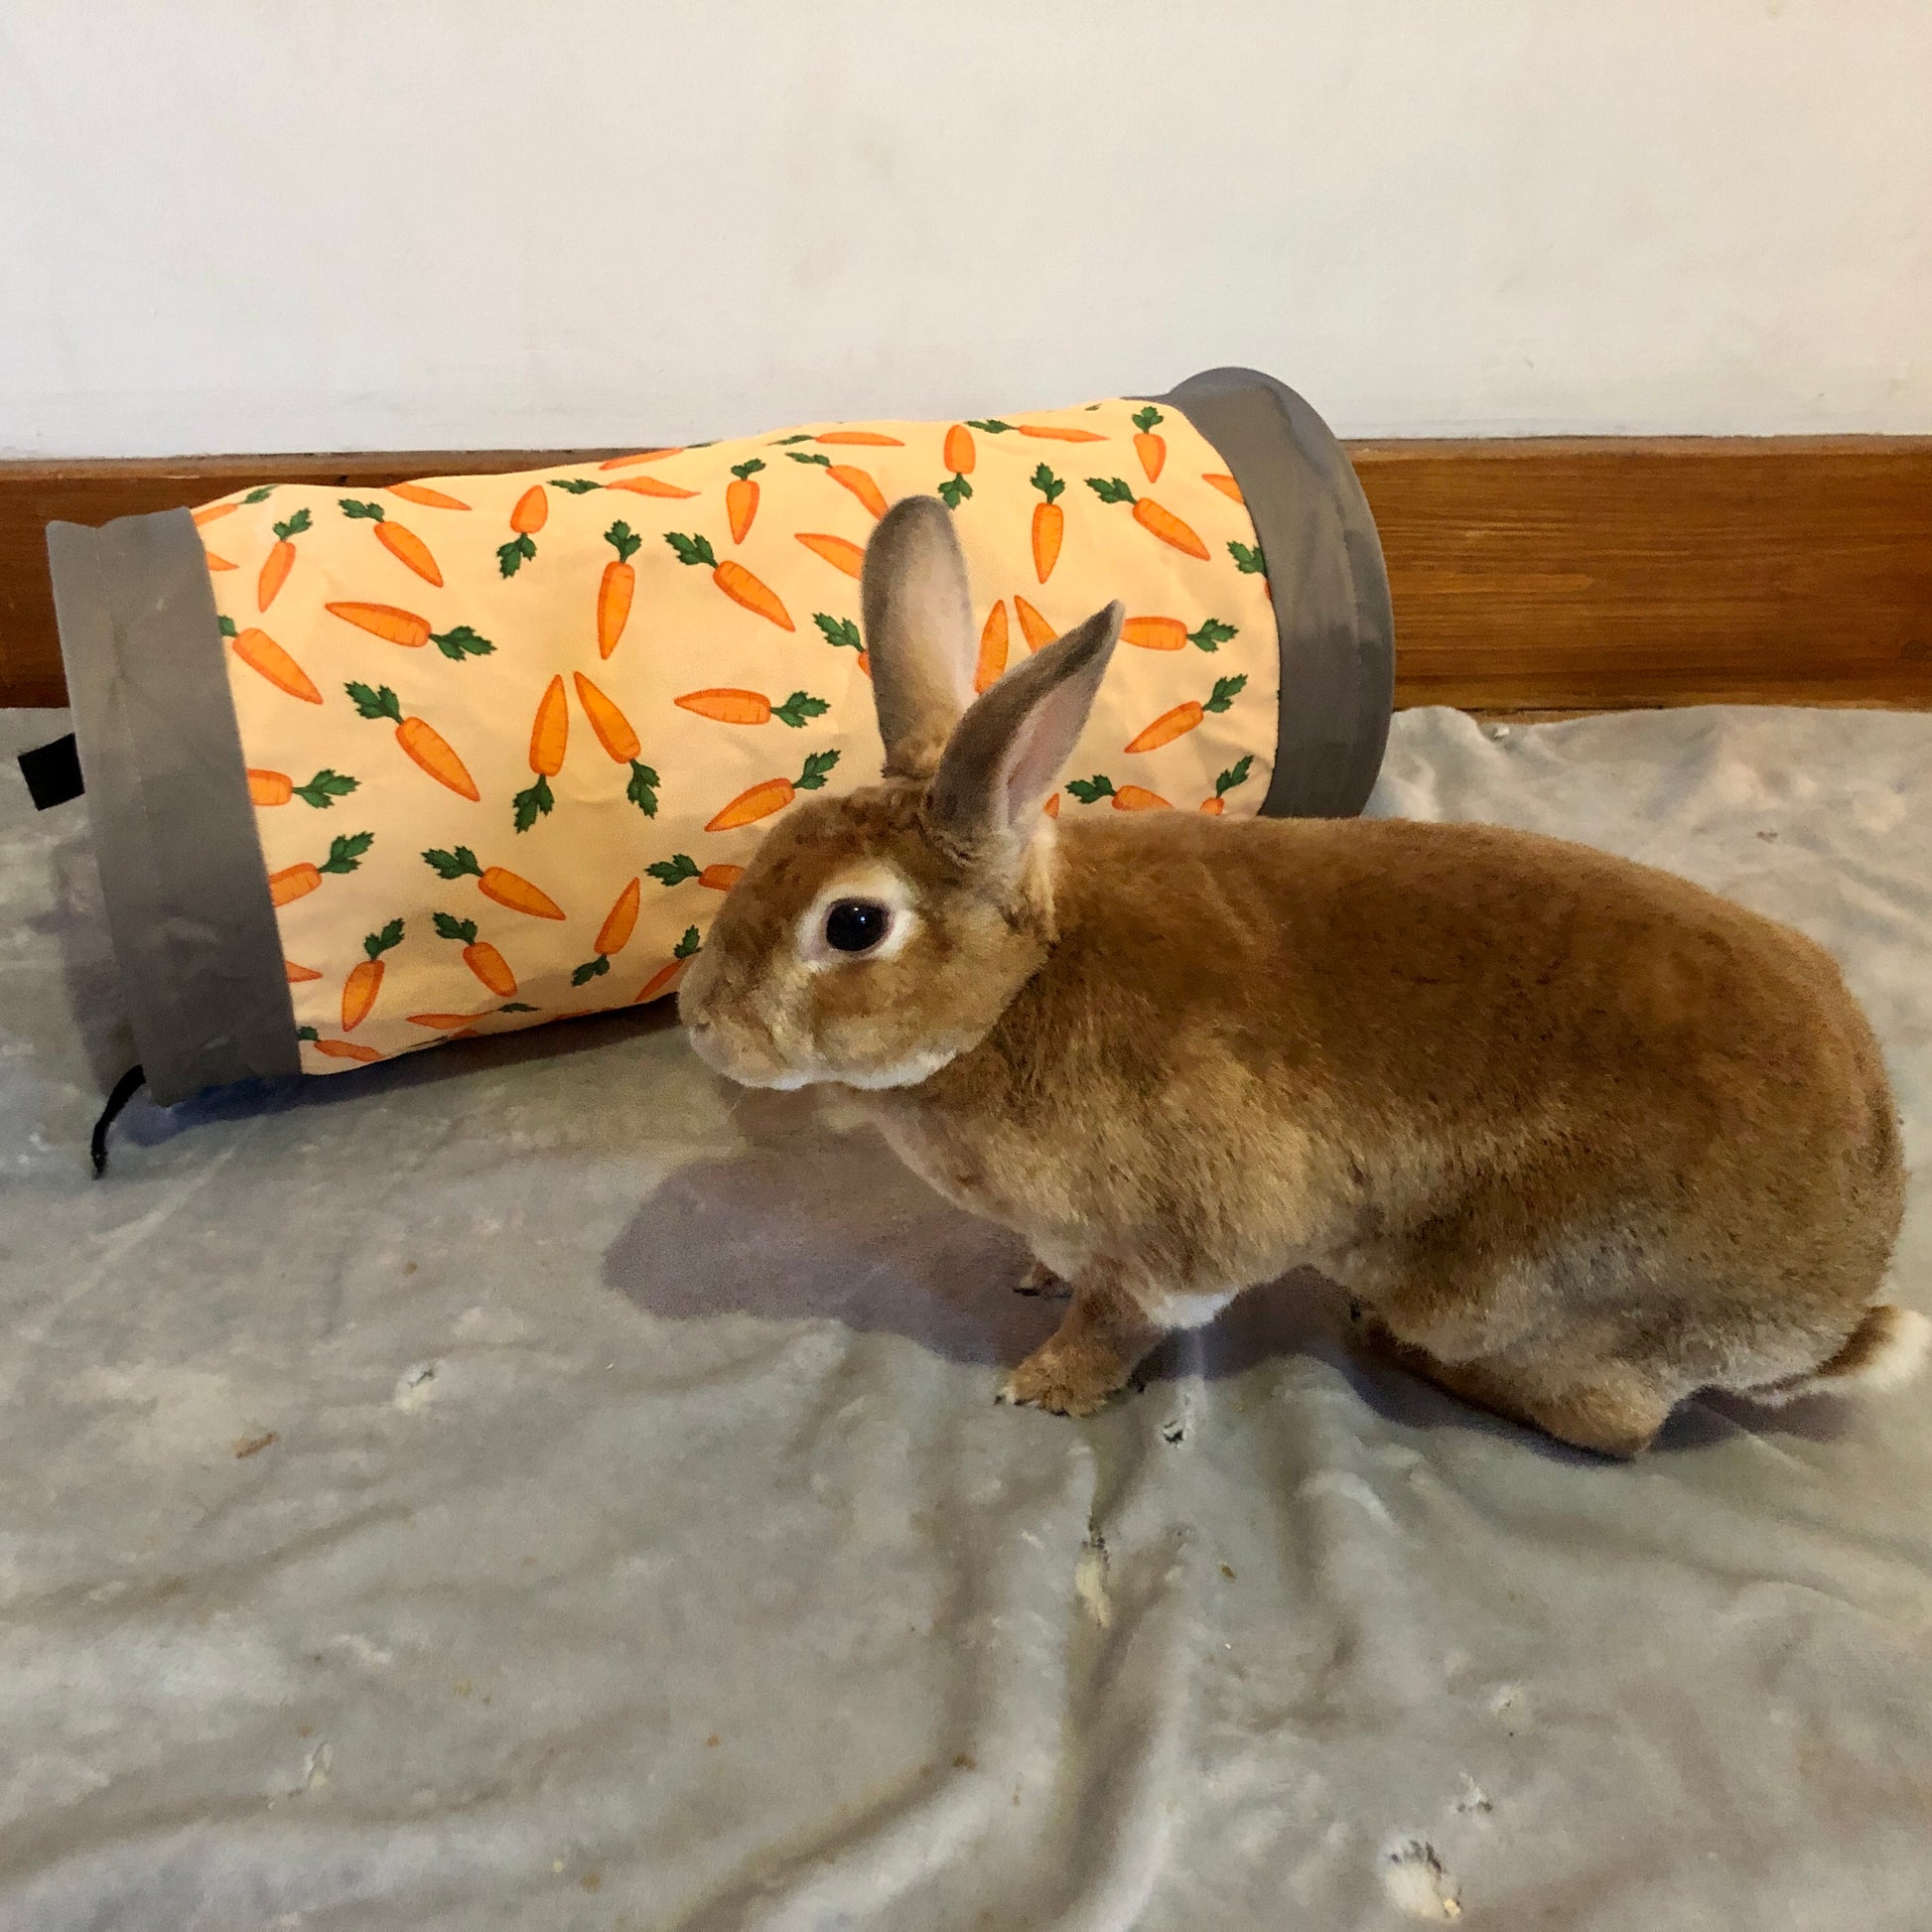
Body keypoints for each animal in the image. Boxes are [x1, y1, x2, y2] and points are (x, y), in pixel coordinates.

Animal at [679, 494, 1916, 1452]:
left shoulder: (1176, 1239)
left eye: (851, 923)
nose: (700, 1022)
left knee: (1613, 1427)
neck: (1019, 987)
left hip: (1518, 1291)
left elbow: (1121, 1321)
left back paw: (1402, 1347)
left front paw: (1044, 1383)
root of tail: (1833, 1302)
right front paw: (1033, 1277)